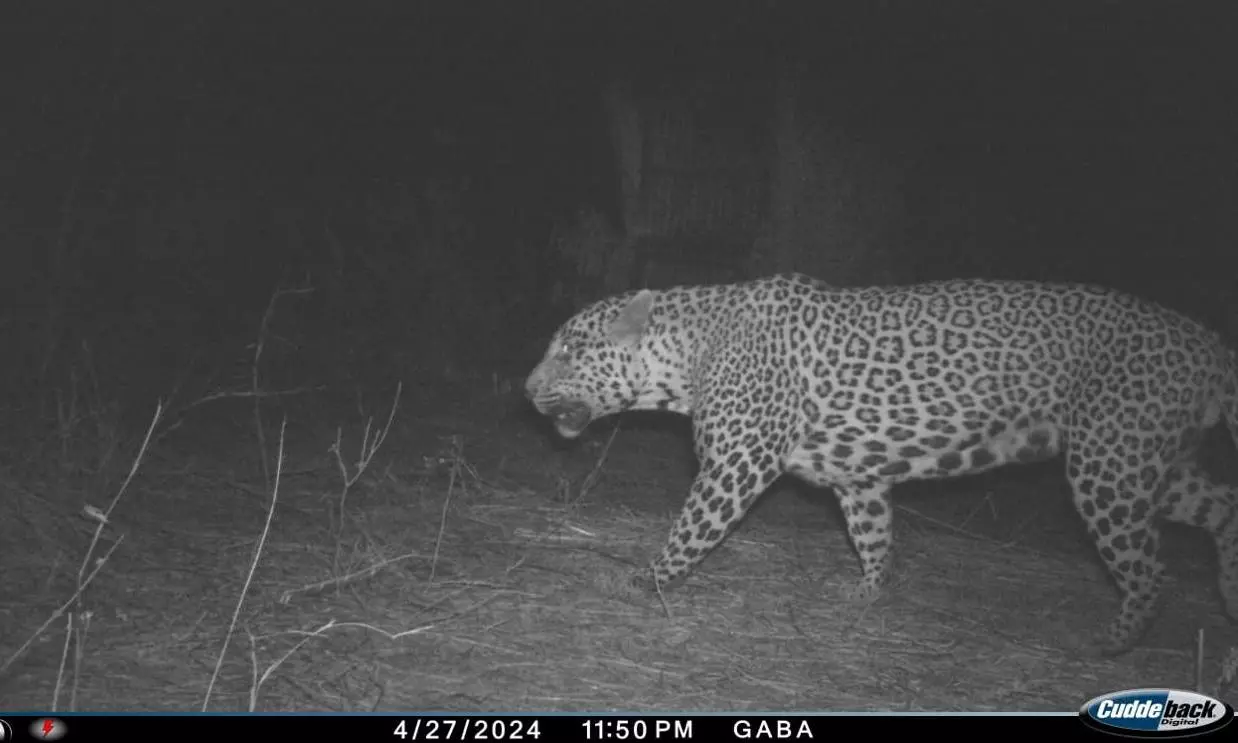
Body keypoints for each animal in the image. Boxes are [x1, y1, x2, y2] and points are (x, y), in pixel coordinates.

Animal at [522, 272, 1238, 653]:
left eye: (569, 349)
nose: (526, 390)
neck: (685, 356)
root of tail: (1206, 342)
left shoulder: (735, 463)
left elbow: (689, 530)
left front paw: (643, 580)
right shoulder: (857, 477)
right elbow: (873, 535)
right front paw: (865, 593)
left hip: (1108, 466)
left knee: (1151, 570)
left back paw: (1115, 640)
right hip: (1152, 465)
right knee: (1224, 509)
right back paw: (1230, 605)